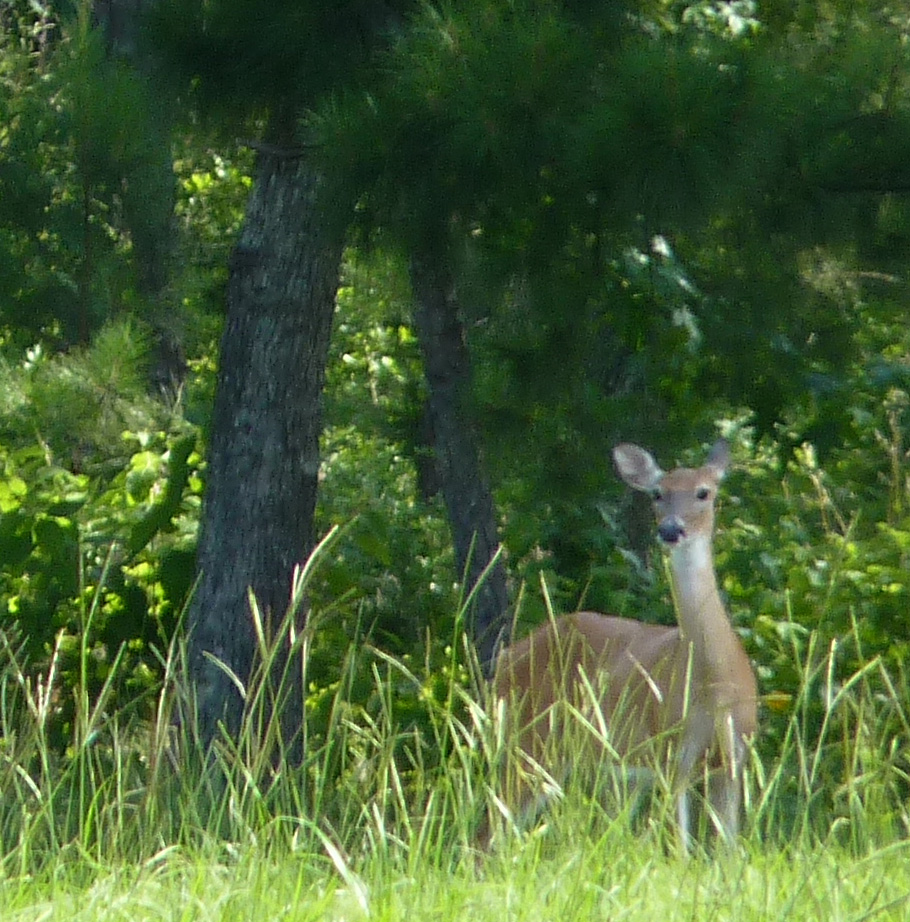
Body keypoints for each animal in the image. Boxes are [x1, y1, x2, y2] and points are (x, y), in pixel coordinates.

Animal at [481, 439, 757, 854]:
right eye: (658, 494)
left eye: (703, 492)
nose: (670, 530)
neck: (714, 681)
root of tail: (505, 658)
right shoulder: (669, 752)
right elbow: (680, 850)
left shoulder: (733, 756)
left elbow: (728, 851)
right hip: (530, 735)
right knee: (489, 829)